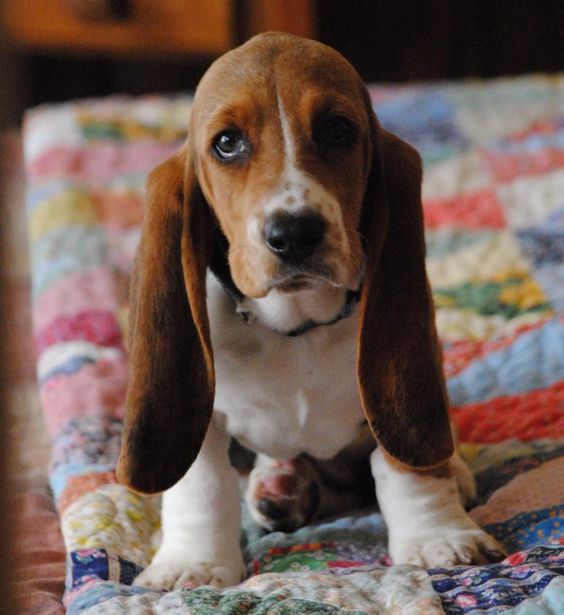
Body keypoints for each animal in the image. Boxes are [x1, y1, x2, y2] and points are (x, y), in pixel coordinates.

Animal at [117, 31, 504, 588]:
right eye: (227, 143)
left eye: (337, 129)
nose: (294, 233)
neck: (295, 326)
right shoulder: (200, 412)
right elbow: (203, 481)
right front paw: (192, 565)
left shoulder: (393, 388)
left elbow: (403, 464)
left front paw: (441, 537)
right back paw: (280, 484)